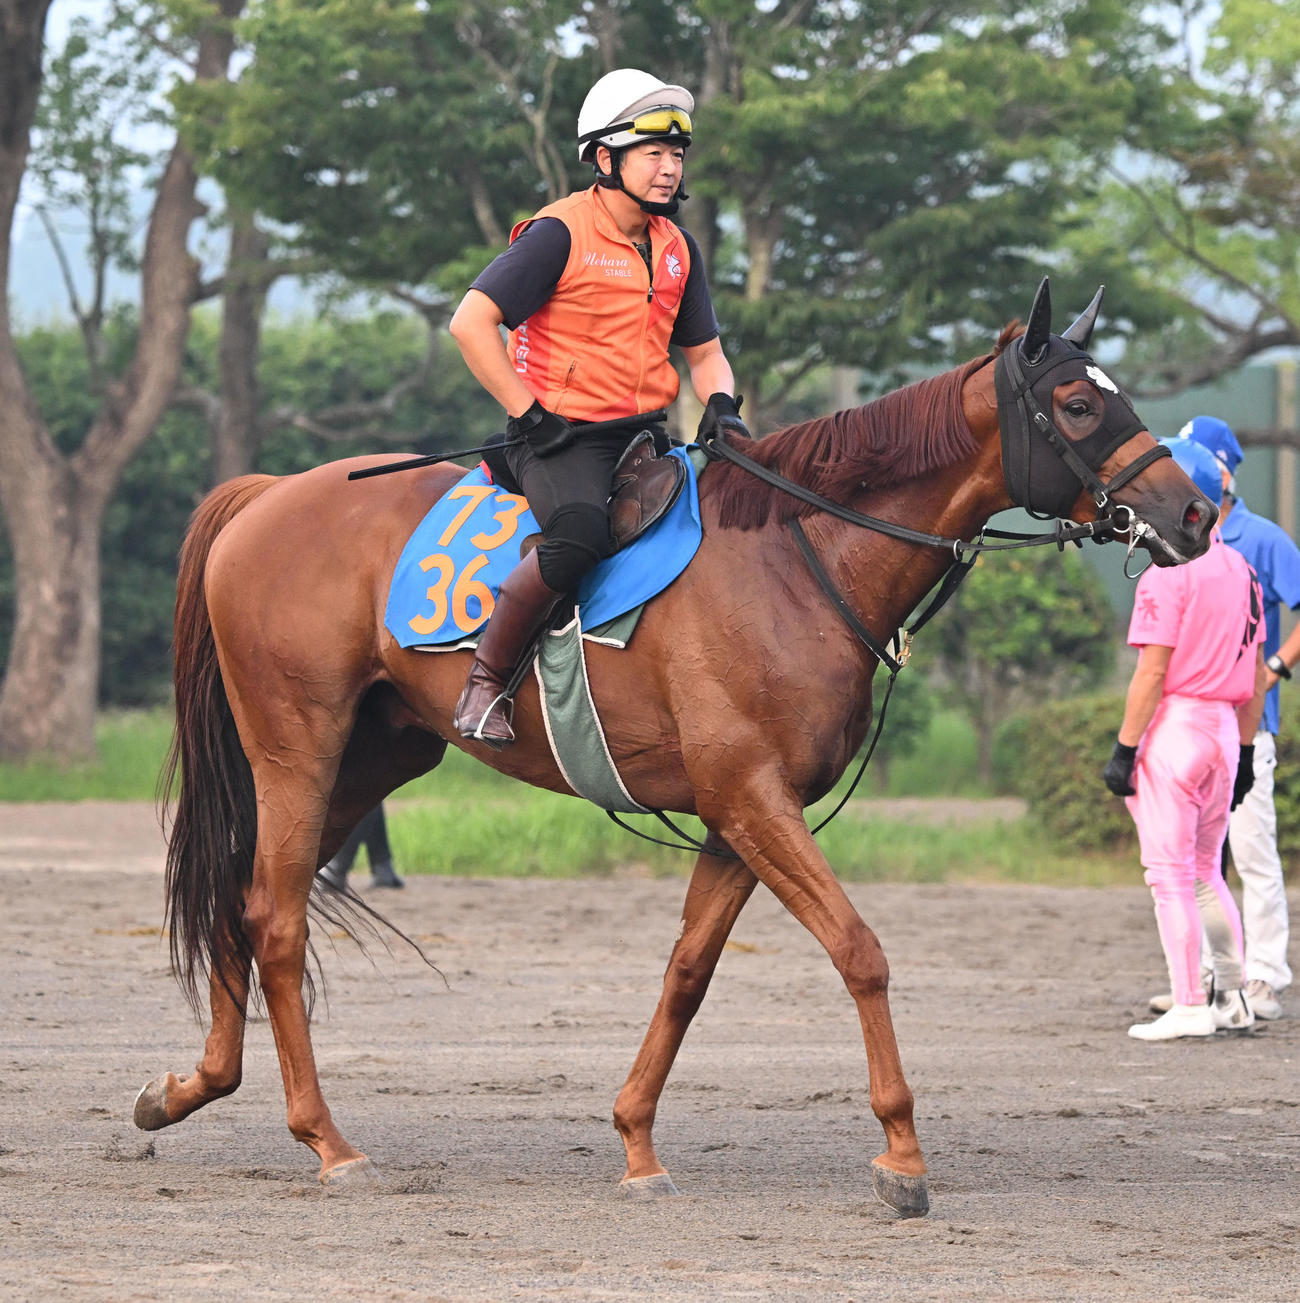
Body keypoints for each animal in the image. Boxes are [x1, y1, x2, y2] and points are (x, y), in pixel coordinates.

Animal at [135, 280, 1213, 1218]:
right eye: (1079, 402)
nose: (1194, 513)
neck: (795, 554)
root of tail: (267, 495)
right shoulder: (752, 797)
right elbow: (859, 951)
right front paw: (902, 1152)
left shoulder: (739, 818)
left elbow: (687, 974)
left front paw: (636, 1141)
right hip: (298, 751)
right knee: (275, 917)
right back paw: (326, 1139)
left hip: (375, 759)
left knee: (241, 898)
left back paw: (192, 1086)